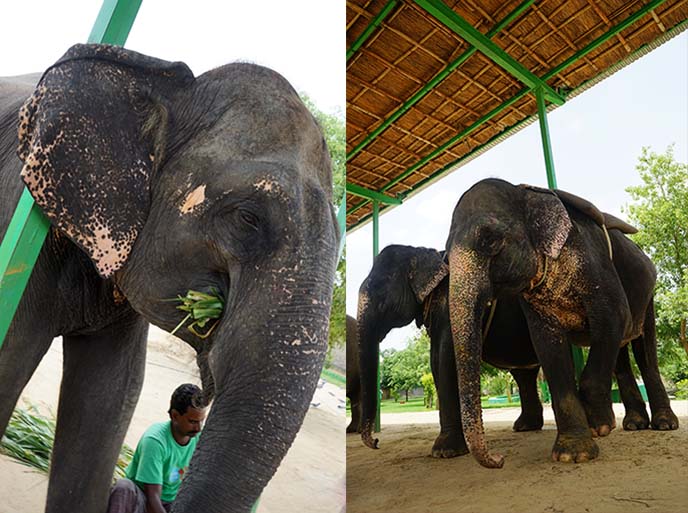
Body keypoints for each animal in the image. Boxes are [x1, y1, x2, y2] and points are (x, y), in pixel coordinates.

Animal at [354, 244, 544, 456]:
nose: (377, 442)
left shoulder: (450, 300)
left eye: (381, 299)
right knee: (523, 374)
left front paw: (445, 452)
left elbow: (444, 358)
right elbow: (435, 360)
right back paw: (525, 427)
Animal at [446, 177, 676, 468]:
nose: (500, 459)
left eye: (490, 240)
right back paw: (634, 424)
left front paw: (599, 426)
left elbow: (615, 315)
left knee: (644, 350)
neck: (523, 192)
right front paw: (573, 453)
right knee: (621, 353)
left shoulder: (590, 256)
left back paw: (663, 425)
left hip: (648, 296)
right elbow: (547, 346)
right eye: (445, 259)